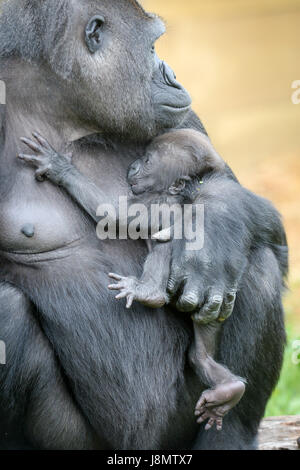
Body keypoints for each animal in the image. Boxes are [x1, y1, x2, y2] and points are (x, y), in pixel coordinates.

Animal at [18, 127, 245, 430]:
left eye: (148, 161)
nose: (134, 165)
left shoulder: (150, 202)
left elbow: (112, 216)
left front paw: (60, 168)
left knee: (164, 249)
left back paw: (149, 293)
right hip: (206, 302)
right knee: (204, 344)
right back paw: (229, 388)